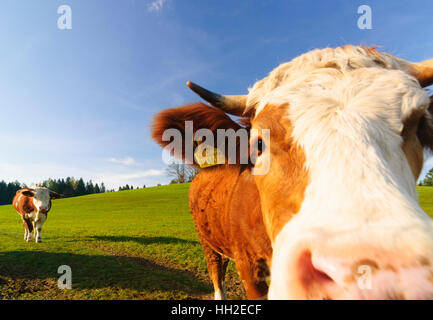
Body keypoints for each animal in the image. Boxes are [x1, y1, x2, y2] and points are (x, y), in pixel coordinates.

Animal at [153, 45, 433, 300]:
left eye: (421, 126)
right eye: (258, 143)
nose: (376, 278)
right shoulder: (249, 270)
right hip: (207, 243)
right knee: (216, 274)